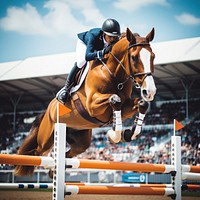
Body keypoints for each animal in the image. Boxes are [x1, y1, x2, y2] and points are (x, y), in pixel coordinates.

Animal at [15, 27, 156, 176]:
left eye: (153, 56)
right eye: (134, 57)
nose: (150, 91)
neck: (113, 74)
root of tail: (48, 109)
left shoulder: (125, 106)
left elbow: (142, 104)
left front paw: (128, 133)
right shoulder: (92, 105)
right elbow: (115, 100)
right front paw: (114, 135)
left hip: (80, 142)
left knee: (69, 153)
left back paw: (54, 171)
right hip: (46, 138)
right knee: (37, 151)